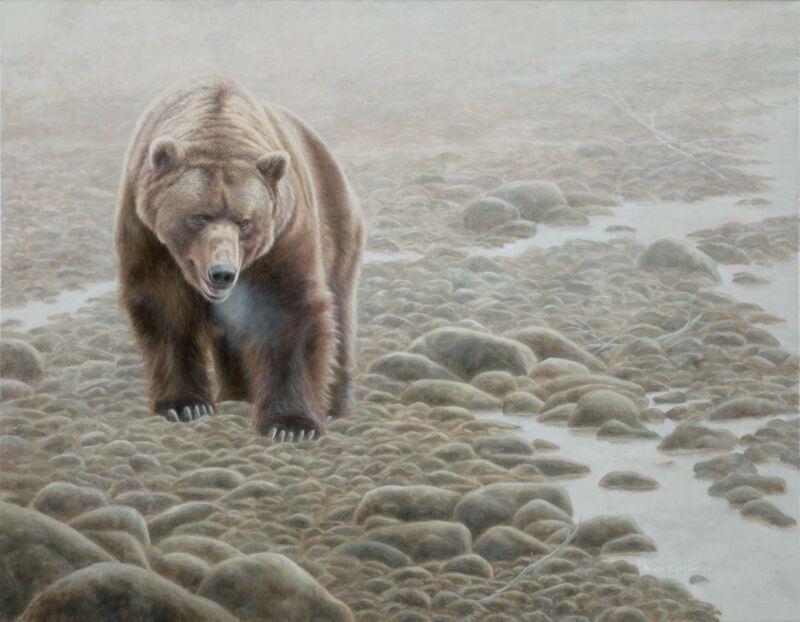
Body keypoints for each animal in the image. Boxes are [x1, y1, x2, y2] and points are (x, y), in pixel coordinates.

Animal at [115, 75, 365, 441]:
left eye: (245, 222)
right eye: (200, 216)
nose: (222, 273)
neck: (218, 125)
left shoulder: (284, 233)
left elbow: (287, 308)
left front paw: (291, 425)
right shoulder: (146, 232)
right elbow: (165, 305)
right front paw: (185, 404)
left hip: (337, 221)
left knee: (340, 312)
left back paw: (336, 403)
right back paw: (238, 393)